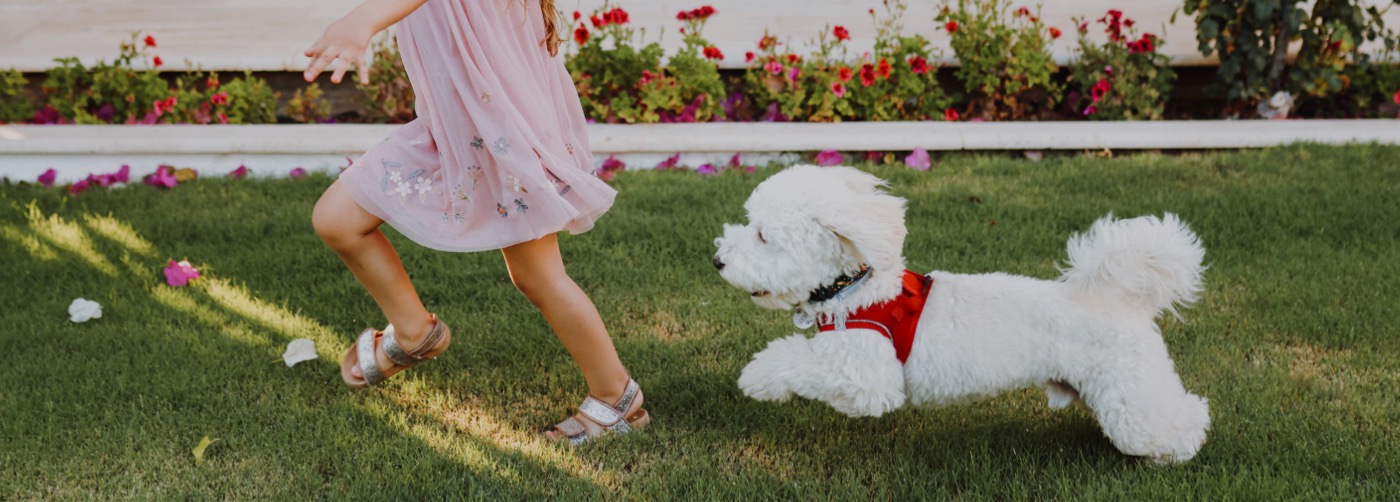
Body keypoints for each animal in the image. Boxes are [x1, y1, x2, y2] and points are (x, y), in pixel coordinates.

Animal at [716, 165, 1209, 464]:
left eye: (763, 236)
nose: (718, 260)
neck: (855, 290)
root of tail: (1120, 299)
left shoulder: (866, 379)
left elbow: (795, 360)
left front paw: (758, 377)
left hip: (1130, 395)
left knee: (1183, 419)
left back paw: (1174, 455)